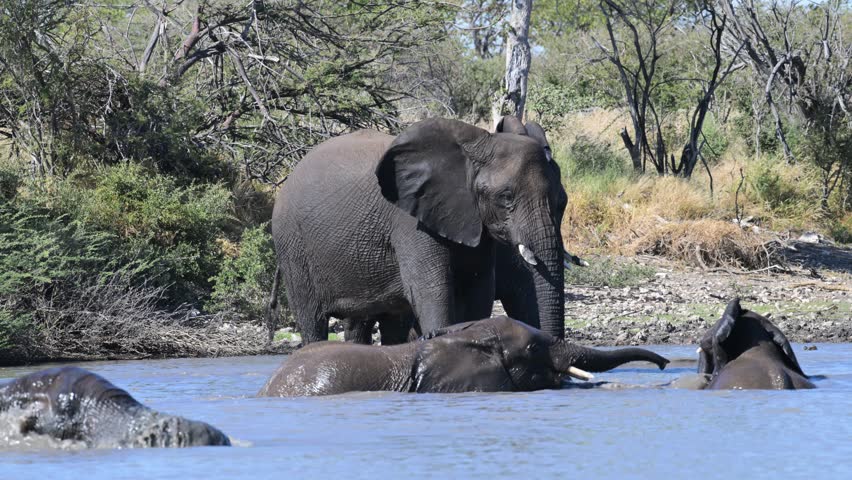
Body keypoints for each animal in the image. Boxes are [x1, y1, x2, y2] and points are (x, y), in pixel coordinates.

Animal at [271, 117, 571, 345]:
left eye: (562, 202)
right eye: (506, 197)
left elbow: (478, 291)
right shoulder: (410, 221)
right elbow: (432, 290)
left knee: (381, 323)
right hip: (292, 245)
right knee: (312, 320)